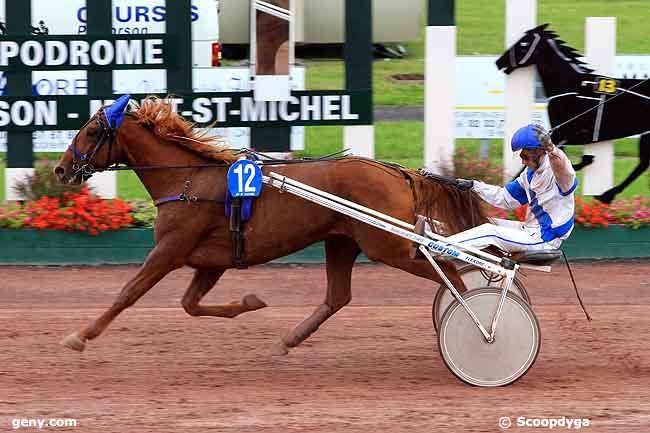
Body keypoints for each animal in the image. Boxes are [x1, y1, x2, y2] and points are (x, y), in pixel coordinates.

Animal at [53, 97, 484, 354]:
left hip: (387, 246)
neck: (188, 180)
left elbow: (127, 293)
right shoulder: (211, 260)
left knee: (449, 273)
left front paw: (79, 336)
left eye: (92, 131)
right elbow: (190, 305)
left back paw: (469, 322)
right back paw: (288, 340)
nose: (60, 169)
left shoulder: (169, 250)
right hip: (342, 241)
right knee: (337, 297)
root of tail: (399, 172)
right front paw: (249, 302)